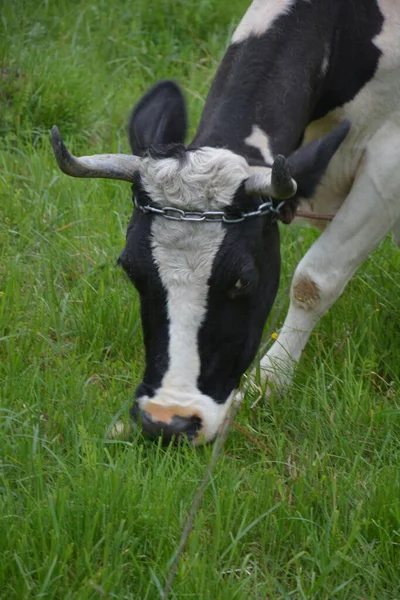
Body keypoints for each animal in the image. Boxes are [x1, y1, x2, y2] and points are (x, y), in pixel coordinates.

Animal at [51, 1, 400, 446]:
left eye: (242, 281)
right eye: (130, 269)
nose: (168, 422)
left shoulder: (388, 159)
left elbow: (313, 280)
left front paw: (270, 380)